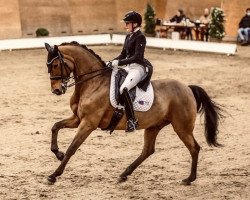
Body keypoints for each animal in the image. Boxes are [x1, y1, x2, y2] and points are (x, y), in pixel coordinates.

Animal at [45, 41, 223, 185]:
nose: (56, 90)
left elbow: (72, 148)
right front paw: (57, 153)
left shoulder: (88, 123)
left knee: (194, 148)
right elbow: (55, 126)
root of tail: (187, 88)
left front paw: (54, 175)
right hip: (154, 126)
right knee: (148, 151)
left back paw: (189, 179)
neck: (93, 83)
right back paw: (124, 174)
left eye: (55, 65)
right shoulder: (77, 119)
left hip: (182, 128)